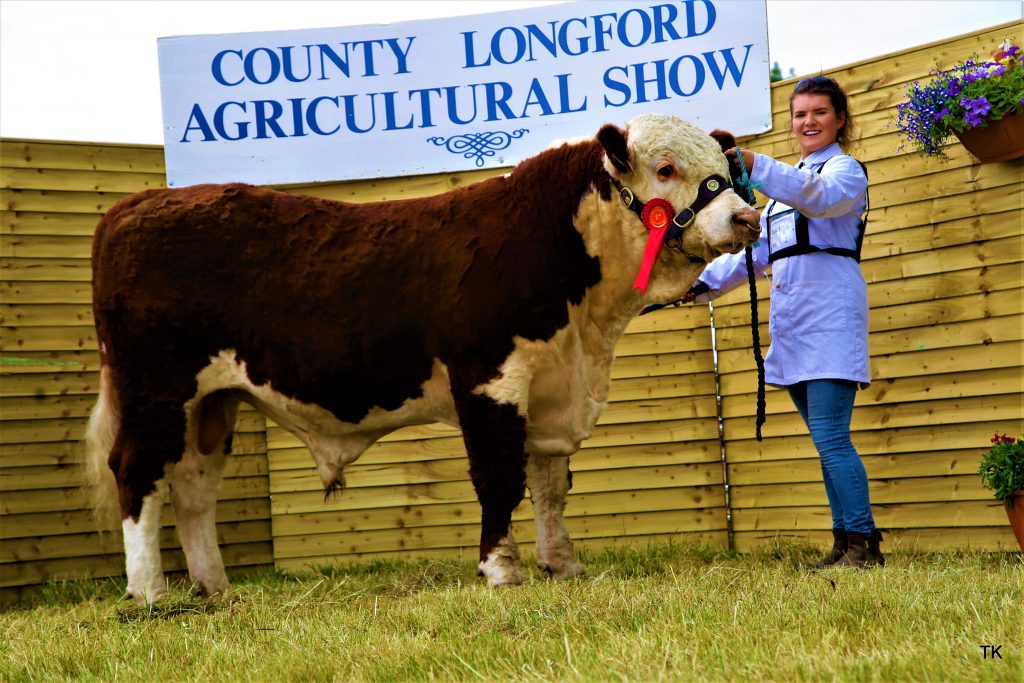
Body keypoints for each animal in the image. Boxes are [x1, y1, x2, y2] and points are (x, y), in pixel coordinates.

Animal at [85, 113, 759, 603]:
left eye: (724, 169)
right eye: (666, 168)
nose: (747, 217)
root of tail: (135, 205)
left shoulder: (550, 390)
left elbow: (549, 487)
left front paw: (561, 565)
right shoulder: (490, 381)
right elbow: (499, 478)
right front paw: (501, 570)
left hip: (211, 401)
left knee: (193, 486)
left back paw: (216, 589)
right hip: (156, 388)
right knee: (137, 472)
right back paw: (149, 593)